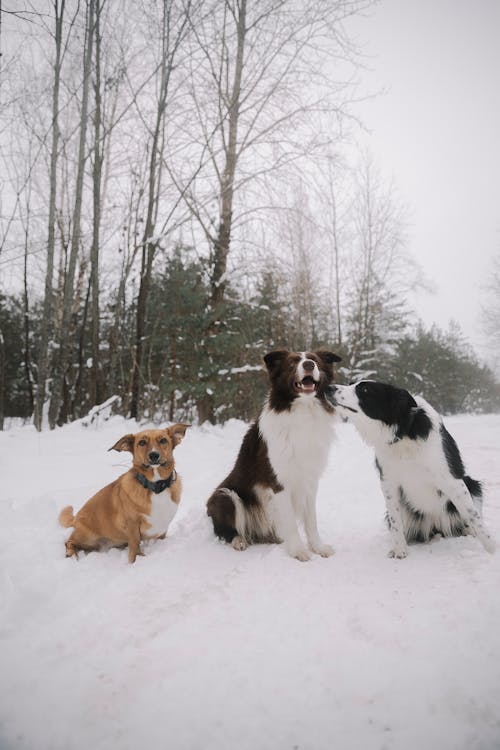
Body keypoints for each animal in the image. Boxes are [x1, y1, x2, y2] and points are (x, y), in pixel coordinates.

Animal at [58, 428, 189, 564]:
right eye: (142, 442)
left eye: (163, 440)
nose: (154, 455)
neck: (155, 486)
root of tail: (75, 518)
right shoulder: (132, 525)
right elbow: (135, 543)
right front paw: (136, 560)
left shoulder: (163, 527)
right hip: (87, 537)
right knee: (69, 542)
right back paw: (72, 555)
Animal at [206, 350, 340, 560]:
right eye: (293, 362)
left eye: (315, 361)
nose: (309, 365)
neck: (302, 411)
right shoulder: (279, 482)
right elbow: (291, 523)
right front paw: (298, 551)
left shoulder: (310, 479)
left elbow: (311, 520)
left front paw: (318, 547)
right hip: (225, 496)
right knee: (225, 530)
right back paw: (239, 541)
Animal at [326, 382, 494, 560]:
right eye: (352, 384)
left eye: (364, 389)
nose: (329, 388)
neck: (403, 432)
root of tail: (436, 525)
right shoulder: (389, 483)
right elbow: (395, 521)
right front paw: (399, 550)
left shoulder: (451, 479)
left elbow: (473, 515)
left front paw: (492, 549)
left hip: (472, 484)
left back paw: (469, 531)